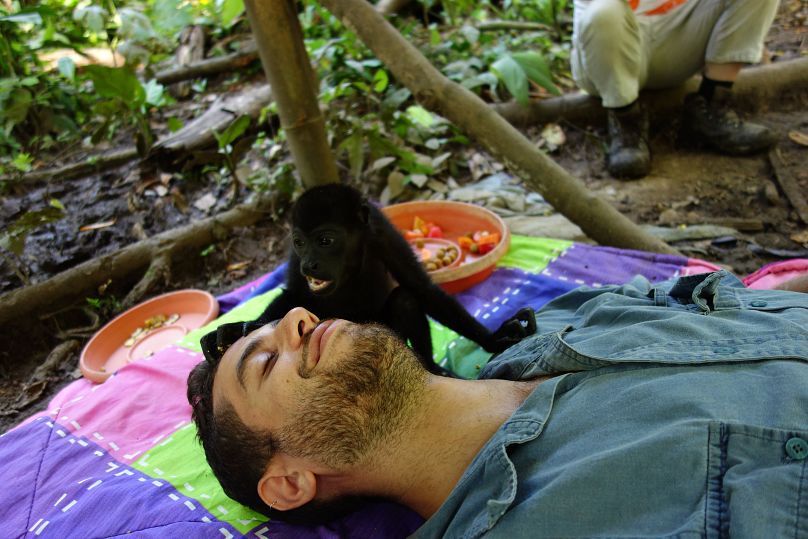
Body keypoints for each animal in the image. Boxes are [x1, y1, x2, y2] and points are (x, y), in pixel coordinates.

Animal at [258, 185, 536, 376]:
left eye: (325, 240)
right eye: (299, 242)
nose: (308, 264)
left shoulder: (382, 233)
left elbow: (421, 288)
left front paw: (492, 339)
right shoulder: (293, 258)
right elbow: (292, 296)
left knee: (405, 300)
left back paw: (432, 368)